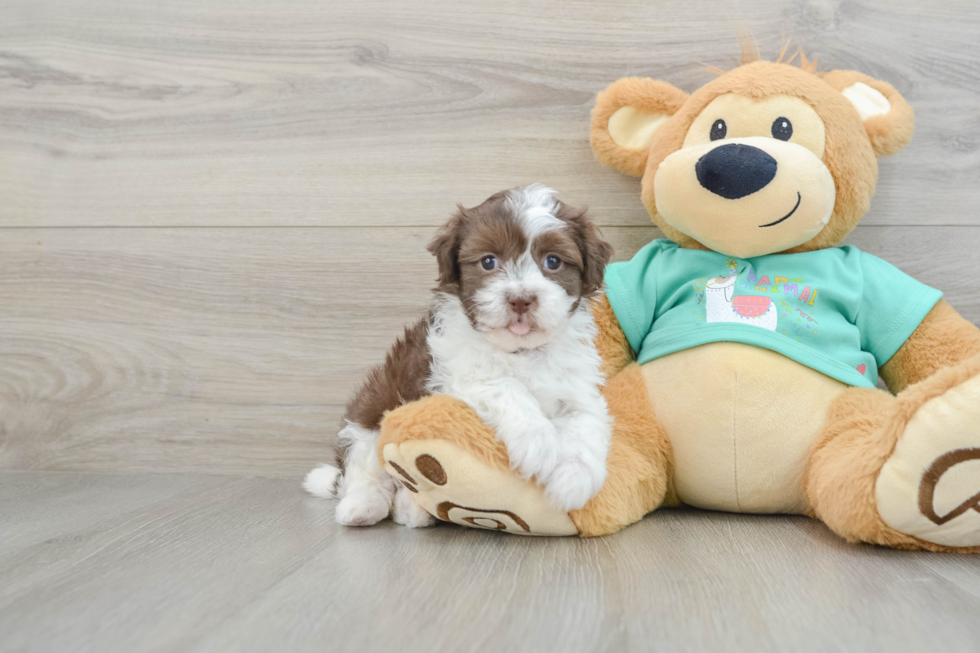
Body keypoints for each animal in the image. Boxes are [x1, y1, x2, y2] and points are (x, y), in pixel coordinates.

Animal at [302, 183, 616, 524]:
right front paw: (538, 442)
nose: (520, 299)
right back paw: (364, 505)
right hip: (370, 413)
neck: (520, 351)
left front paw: (575, 480)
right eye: (489, 262)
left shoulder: (576, 385)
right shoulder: (451, 374)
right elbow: (504, 386)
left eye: (554, 262)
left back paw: (412, 508)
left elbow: (586, 419)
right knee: (364, 468)